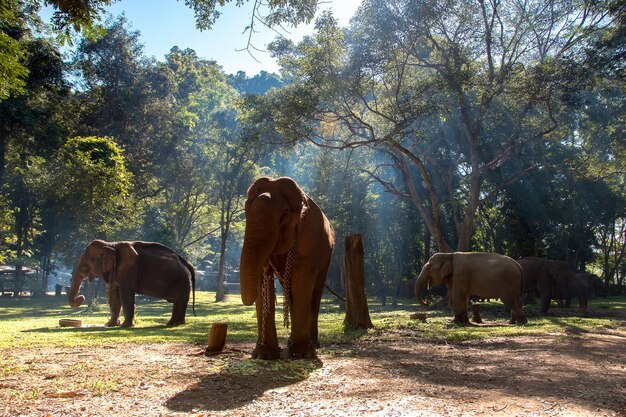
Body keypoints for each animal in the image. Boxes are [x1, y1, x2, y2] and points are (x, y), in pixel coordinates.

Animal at [66, 239, 194, 326]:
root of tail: (186, 263)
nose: (80, 297)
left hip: (183, 281)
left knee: (181, 301)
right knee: (177, 302)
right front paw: (110, 324)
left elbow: (125, 293)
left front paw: (124, 326)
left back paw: (178, 324)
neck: (111, 245)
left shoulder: (128, 268)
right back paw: (171, 323)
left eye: (86, 264)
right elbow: (115, 294)